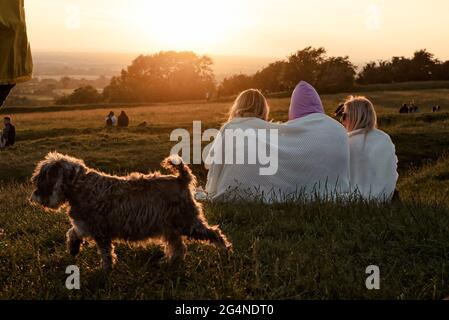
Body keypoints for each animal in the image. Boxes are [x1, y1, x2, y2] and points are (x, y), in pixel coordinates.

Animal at [30, 152, 231, 270]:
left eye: (43, 178)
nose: (35, 196)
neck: (79, 186)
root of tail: (181, 178)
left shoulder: (100, 232)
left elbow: (106, 254)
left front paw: (104, 271)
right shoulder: (85, 225)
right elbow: (72, 232)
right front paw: (73, 248)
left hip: (187, 223)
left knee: (214, 233)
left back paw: (226, 252)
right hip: (171, 227)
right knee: (178, 247)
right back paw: (168, 262)